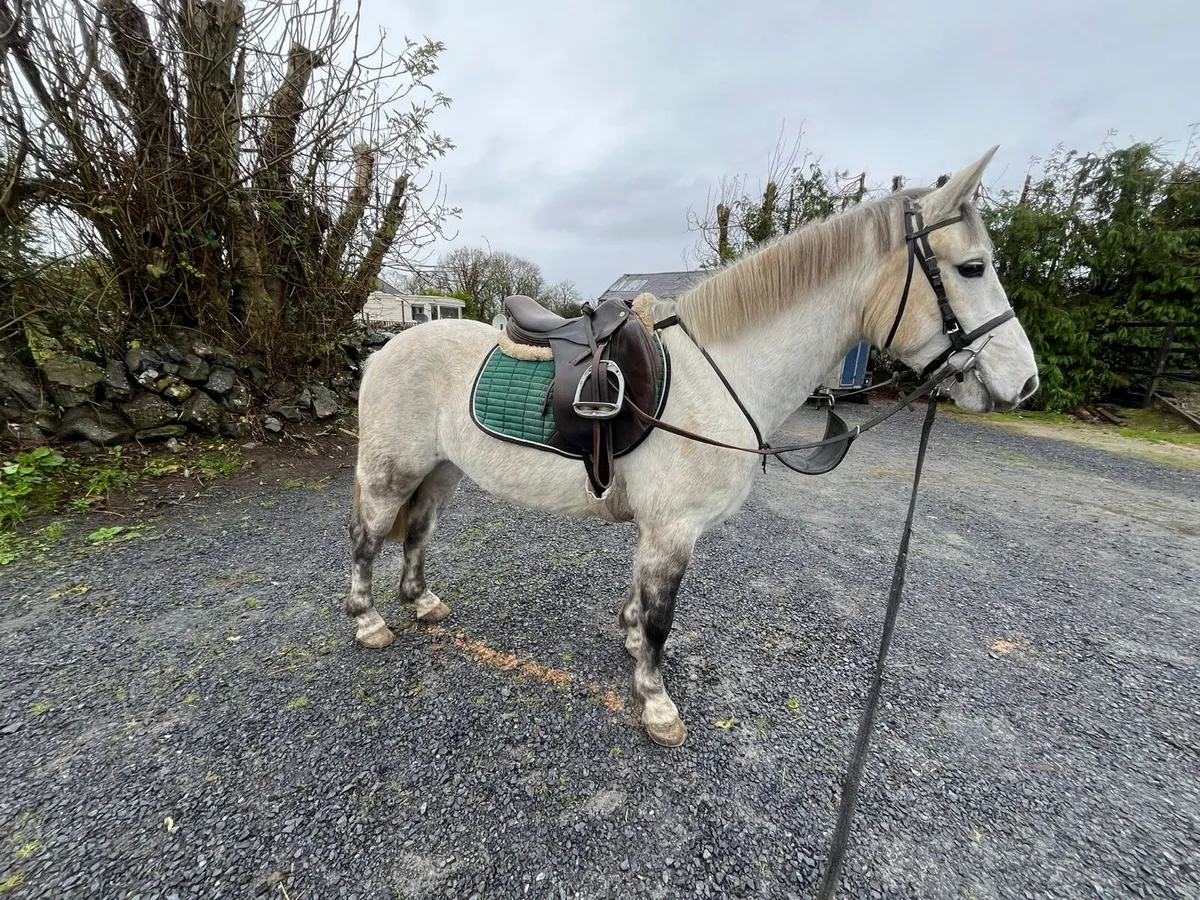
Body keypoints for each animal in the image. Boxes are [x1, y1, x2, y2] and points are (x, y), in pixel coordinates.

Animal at [346, 146, 1040, 748]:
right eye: (972, 267)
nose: (1025, 382)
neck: (717, 376)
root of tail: (384, 348)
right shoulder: (673, 528)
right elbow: (661, 616)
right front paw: (656, 704)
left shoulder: (659, 529)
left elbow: (641, 605)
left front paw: (631, 648)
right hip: (391, 472)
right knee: (367, 537)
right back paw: (368, 619)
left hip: (441, 471)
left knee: (418, 531)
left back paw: (422, 602)